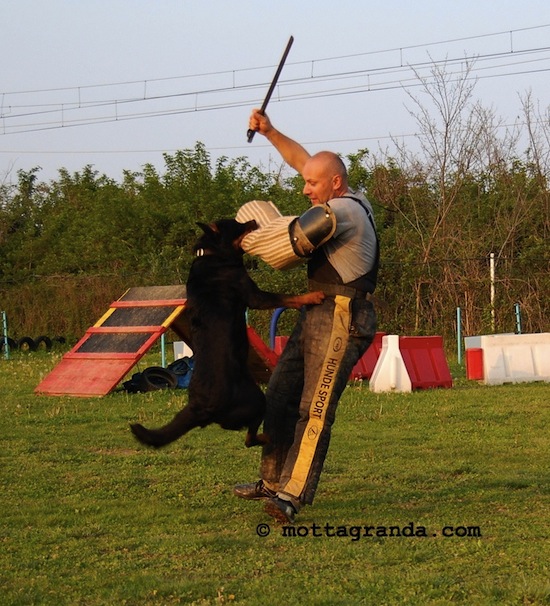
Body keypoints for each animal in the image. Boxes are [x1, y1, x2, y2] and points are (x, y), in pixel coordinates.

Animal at [130, 221, 326, 448]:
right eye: (237, 225)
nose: (252, 221)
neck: (212, 254)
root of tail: (200, 406)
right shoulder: (255, 296)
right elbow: (288, 298)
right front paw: (312, 296)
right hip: (257, 399)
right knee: (249, 438)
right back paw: (268, 438)